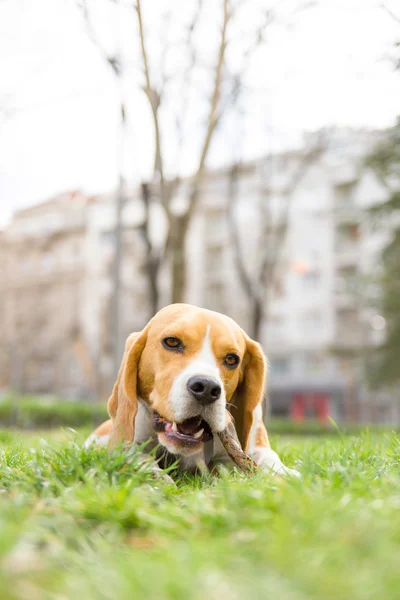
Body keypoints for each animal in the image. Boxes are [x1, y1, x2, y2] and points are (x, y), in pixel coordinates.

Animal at [84, 304, 296, 478]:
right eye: (171, 342)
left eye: (231, 359)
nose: (207, 388)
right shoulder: (127, 445)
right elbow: (137, 455)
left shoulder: (256, 448)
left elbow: (269, 460)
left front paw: (286, 474)